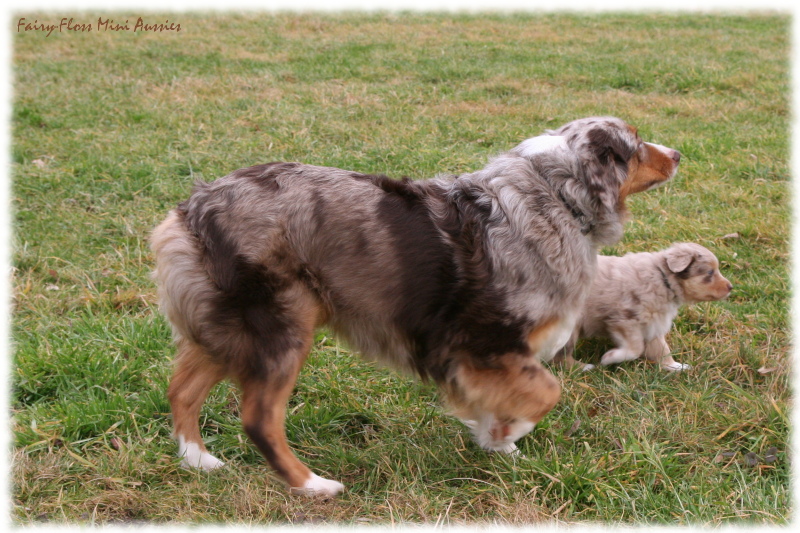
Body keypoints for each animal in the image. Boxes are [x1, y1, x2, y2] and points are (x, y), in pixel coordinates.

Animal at [556, 242, 732, 370]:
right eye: (710, 273)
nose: (731, 287)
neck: (664, 279)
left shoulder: (653, 323)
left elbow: (662, 349)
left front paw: (676, 367)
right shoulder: (625, 320)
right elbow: (636, 348)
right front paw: (609, 358)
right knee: (561, 357)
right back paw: (583, 367)